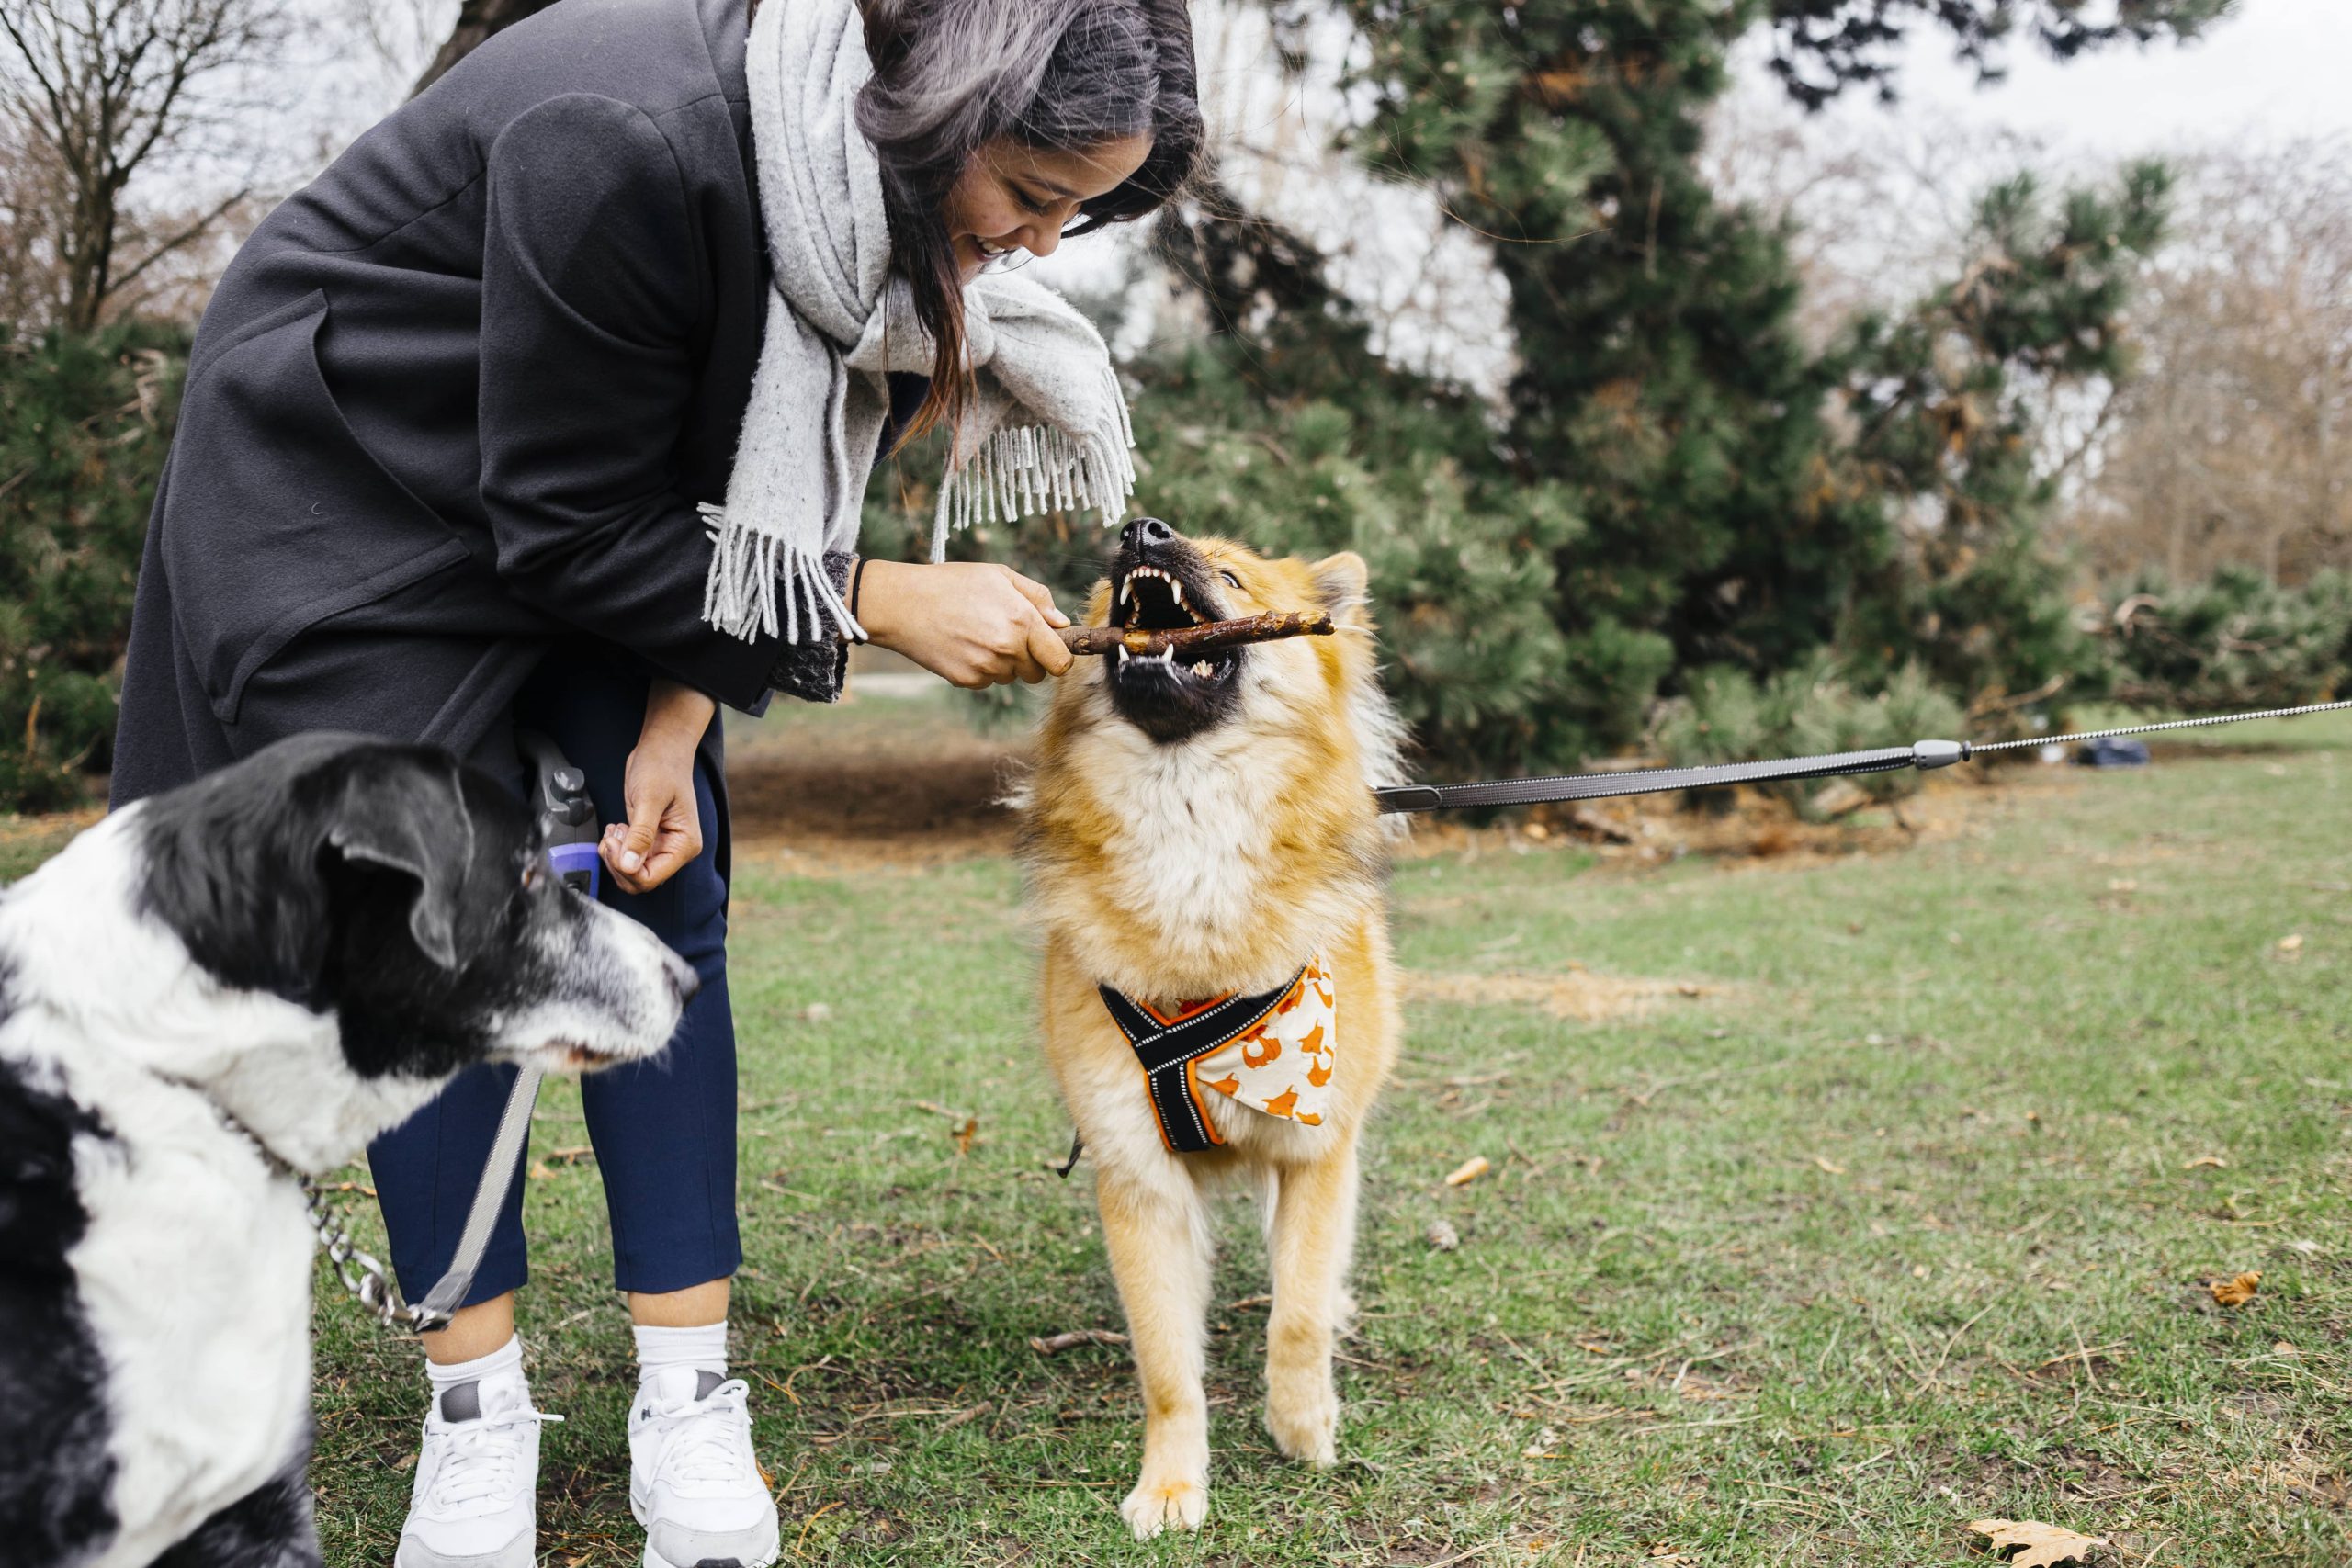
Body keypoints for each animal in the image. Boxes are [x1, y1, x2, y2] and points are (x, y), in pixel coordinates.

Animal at [1021, 522, 1401, 1541]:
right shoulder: (1137, 1178)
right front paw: (1170, 1484)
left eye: (1231, 572)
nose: (1139, 530)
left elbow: (1297, 1312)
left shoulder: (1317, 1149)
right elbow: (1165, 1364)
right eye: (1104, 585)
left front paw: (1302, 1425)